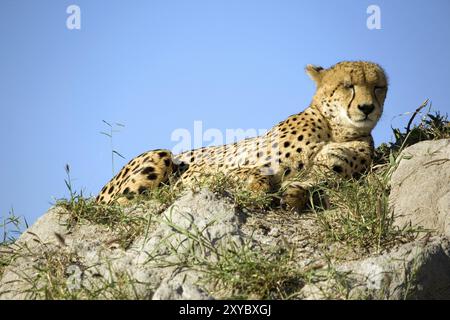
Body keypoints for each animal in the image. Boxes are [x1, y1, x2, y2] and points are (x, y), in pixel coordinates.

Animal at [96, 61, 388, 211]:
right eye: (348, 85)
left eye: (378, 87)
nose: (367, 108)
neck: (334, 129)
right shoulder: (215, 170)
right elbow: (252, 173)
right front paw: (259, 188)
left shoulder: (332, 172)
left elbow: (314, 184)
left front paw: (296, 196)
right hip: (160, 155)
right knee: (116, 204)